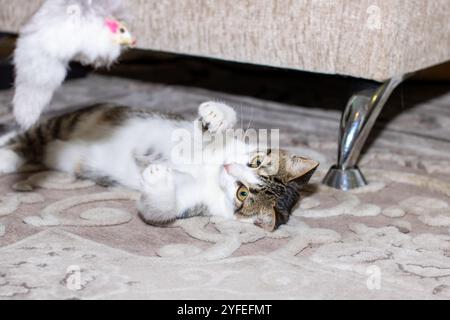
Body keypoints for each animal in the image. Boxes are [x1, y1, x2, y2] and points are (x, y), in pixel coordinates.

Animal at [0, 101, 320, 229]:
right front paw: (216, 116)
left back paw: (10, 159)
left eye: (242, 194)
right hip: (76, 119)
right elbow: (205, 133)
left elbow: (158, 209)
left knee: (35, 146)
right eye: (256, 161)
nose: (229, 167)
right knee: (26, 132)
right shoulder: (198, 139)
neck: (210, 171)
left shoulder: (195, 202)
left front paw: (156, 177)